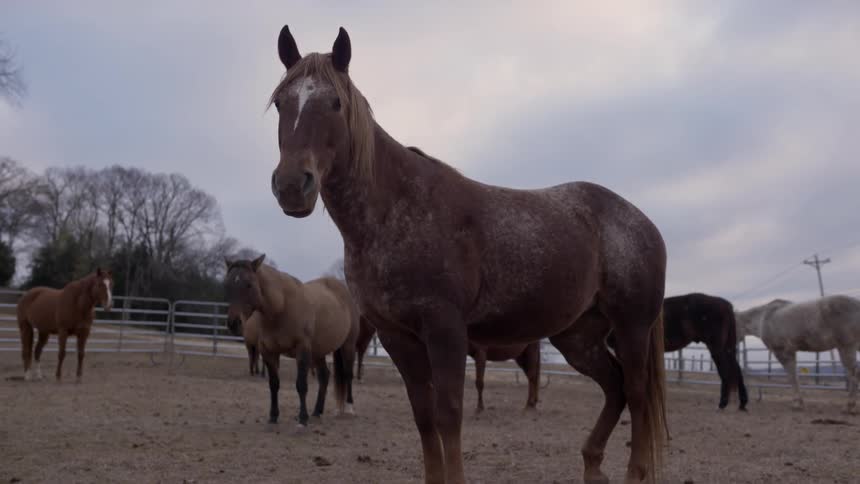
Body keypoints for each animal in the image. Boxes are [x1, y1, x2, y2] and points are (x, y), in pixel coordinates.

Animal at [223, 255, 360, 427]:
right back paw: (317, 411)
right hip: (318, 351)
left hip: (348, 345)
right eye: (227, 286)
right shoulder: (268, 352)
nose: (234, 323)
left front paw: (302, 419)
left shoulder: (302, 349)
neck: (281, 307)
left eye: (249, 284)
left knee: (348, 374)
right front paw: (273, 417)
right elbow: (274, 384)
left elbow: (301, 385)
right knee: (324, 376)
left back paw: (349, 408)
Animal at [266, 26, 668, 484]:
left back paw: (634, 472)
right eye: (280, 102)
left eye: (335, 102)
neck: (396, 209)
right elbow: (424, 417)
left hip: (632, 326)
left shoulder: (446, 330)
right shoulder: (397, 336)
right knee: (615, 388)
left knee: (636, 393)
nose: (292, 186)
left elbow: (449, 415)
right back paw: (592, 465)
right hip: (577, 337)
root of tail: (641, 222)